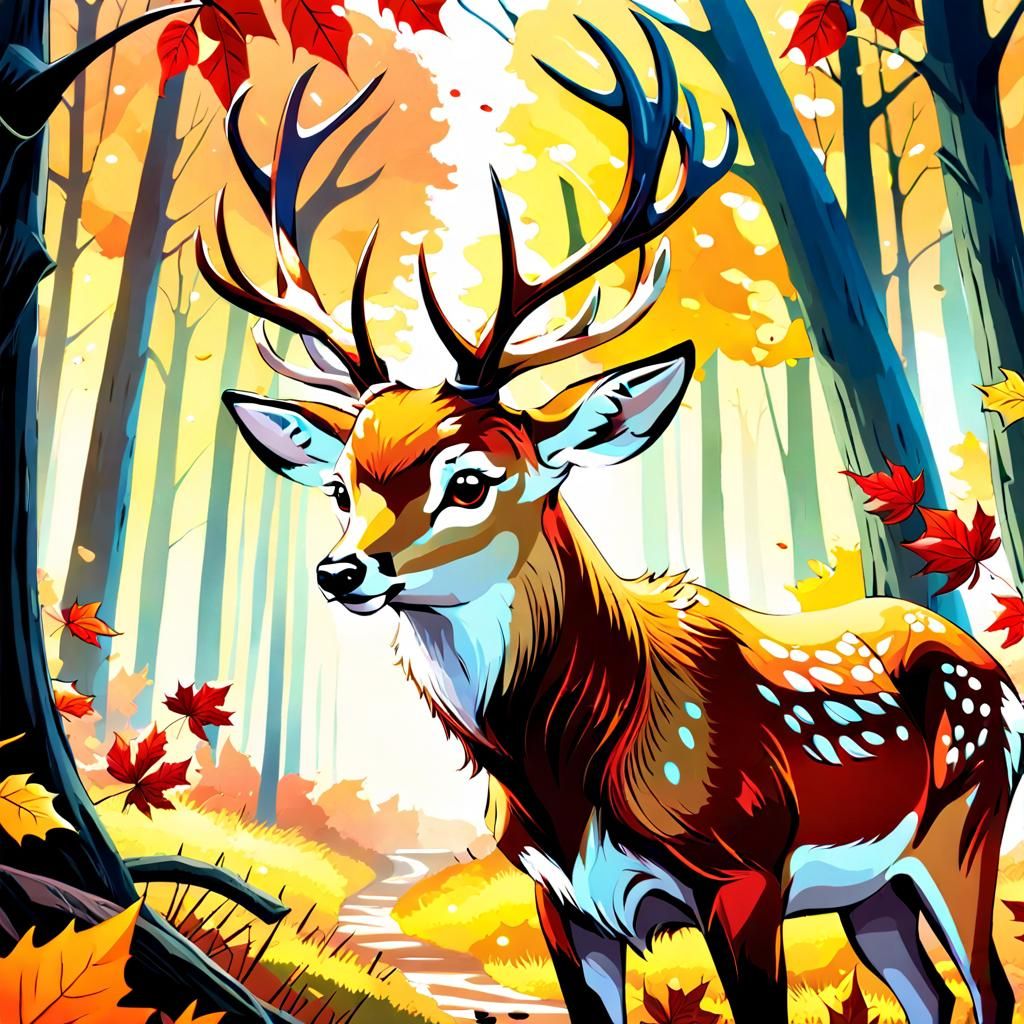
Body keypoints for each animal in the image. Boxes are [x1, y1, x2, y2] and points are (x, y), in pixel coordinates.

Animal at [196, 15, 1022, 1024]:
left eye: (469, 481)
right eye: (343, 488)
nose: (340, 570)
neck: (565, 774)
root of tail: (991, 663)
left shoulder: (744, 869)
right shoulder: (557, 896)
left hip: (966, 823)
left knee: (990, 986)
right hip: (873, 893)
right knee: (929, 996)